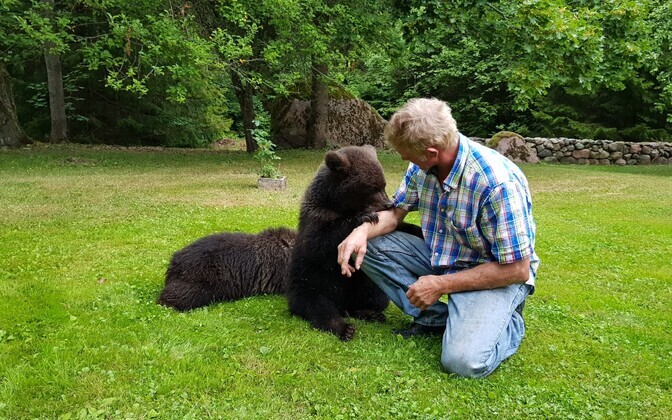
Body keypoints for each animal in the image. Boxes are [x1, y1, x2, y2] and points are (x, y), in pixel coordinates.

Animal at [286, 145, 423, 341]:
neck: (337, 204)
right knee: (316, 305)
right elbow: (317, 243)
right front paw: (364, 216)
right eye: (372, 188)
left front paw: (419, 231)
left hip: (362, 285)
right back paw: (344, 327)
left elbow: (399, 226)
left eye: (383, 184)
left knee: (374, 296)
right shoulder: (316, 216)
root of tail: (344, 306)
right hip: (310, 282)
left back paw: (369, 312)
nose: (389, 203)